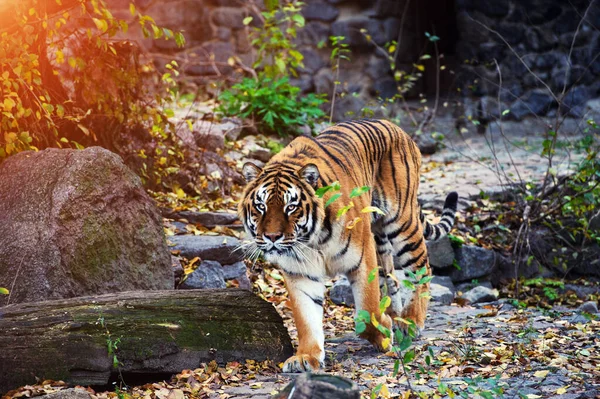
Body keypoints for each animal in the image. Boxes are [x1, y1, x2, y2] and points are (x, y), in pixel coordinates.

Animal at [237, 117, 458, 374]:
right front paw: (305, 357)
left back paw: (411, 321)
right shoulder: (299, 272)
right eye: (261, 206)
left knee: (422, 268)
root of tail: (396, 127)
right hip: (381, 238)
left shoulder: (362, 257)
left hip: (402, 224)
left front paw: (383, 334)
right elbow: (306, 318)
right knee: (392, 278)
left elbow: (367, 310)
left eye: (290, 207)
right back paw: (397, 316)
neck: (310, 239)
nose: (272, 237)